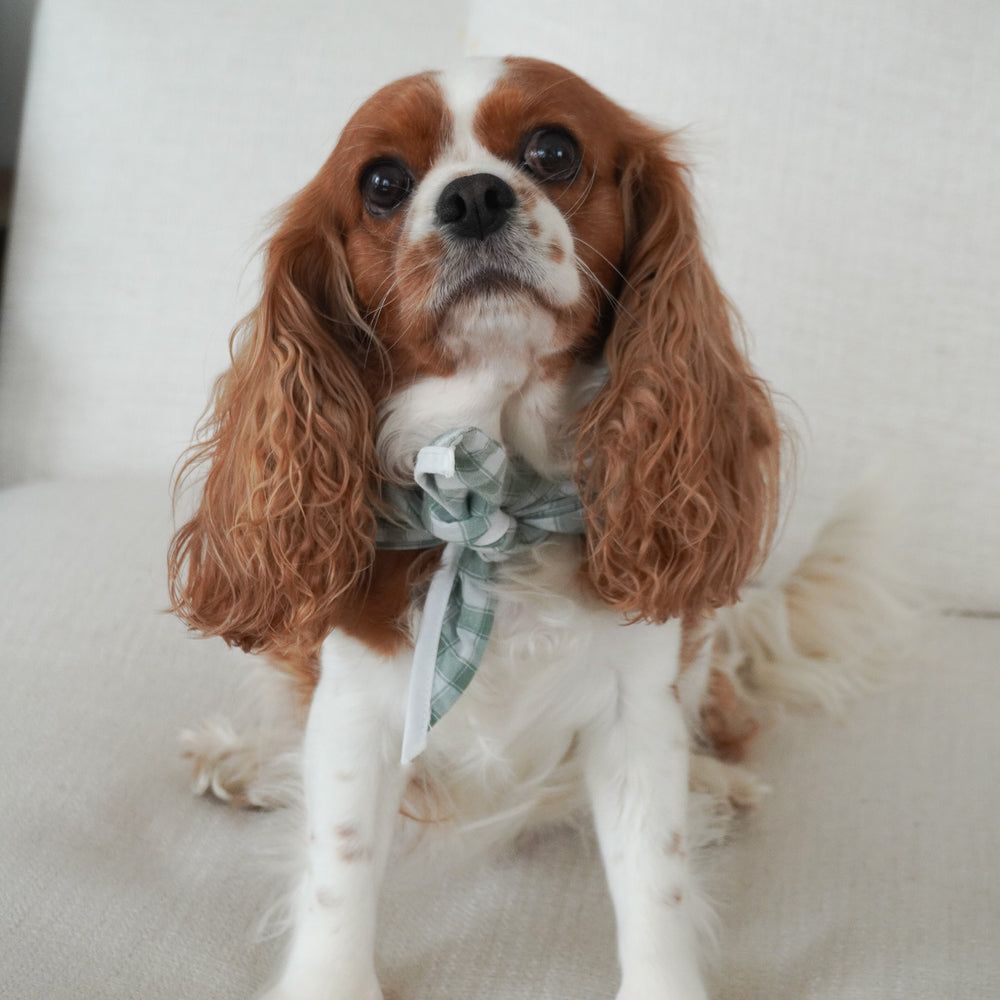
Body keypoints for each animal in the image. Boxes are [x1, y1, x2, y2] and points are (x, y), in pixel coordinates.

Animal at [166, 56, 908, 1000]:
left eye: (553, 152)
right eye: (382, 183)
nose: (473, 196)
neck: (496, 501)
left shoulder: (636, 711)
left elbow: (654, 875)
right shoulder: (355, 708)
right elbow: (339, 862)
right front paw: (331, 977)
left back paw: (716, 784)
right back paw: (248, 763)